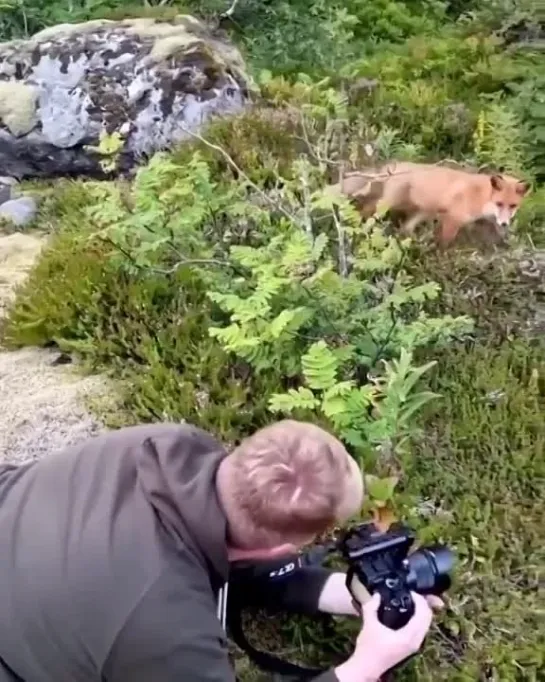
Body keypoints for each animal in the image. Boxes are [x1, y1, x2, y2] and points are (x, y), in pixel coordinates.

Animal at [330, 161, 528, 246]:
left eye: (512, 206)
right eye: (499, 203)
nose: (504, 223)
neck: (480, 197)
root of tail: (393, 164)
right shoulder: (452, 220)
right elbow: (445, 245)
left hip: (422, 212)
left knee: (403, 227)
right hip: (388, 204)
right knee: (369, 215)